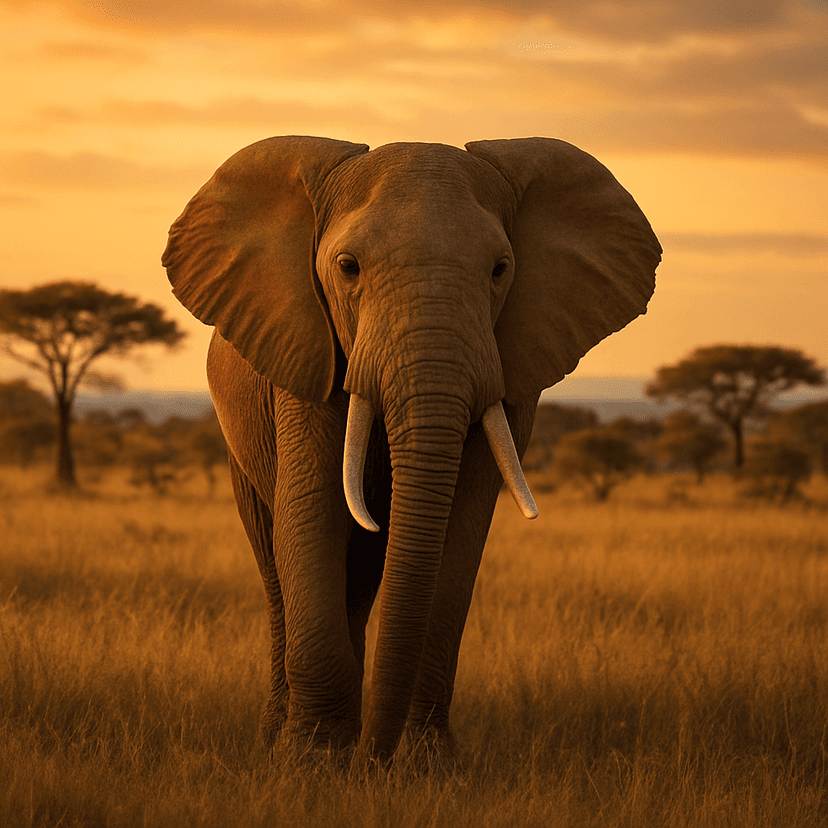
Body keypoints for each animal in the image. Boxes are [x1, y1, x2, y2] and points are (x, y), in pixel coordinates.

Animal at [162, 135, 660, 763]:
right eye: (347, 267)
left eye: (500, 270)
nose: (373, 762)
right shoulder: (304, 352)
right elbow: (311, 514)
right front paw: (311, 765)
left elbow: (461, 529)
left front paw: (427, 766)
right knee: (275, 563)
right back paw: (283, 737)